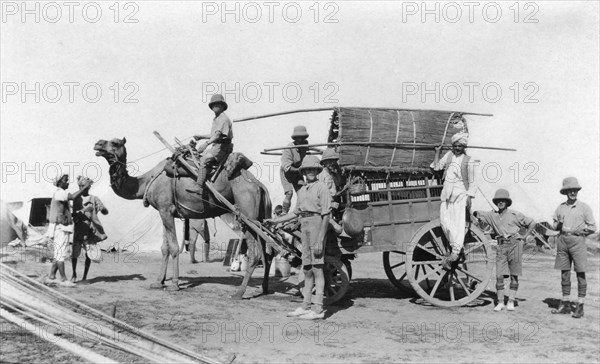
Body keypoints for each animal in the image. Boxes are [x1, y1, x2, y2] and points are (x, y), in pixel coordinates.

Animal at [95, 137, 274, 298]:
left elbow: (174, 247)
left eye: (115, 143)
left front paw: (174, 284)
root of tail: (259, 185)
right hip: (261, 217)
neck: (146, 181)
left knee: (255, 253)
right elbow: (164, 248)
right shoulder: (163, 212)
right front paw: (158, 282)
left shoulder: (166, 210)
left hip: (247, 212)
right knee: (268, 252)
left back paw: (239, 292)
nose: (97, 144)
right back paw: (263, 289)